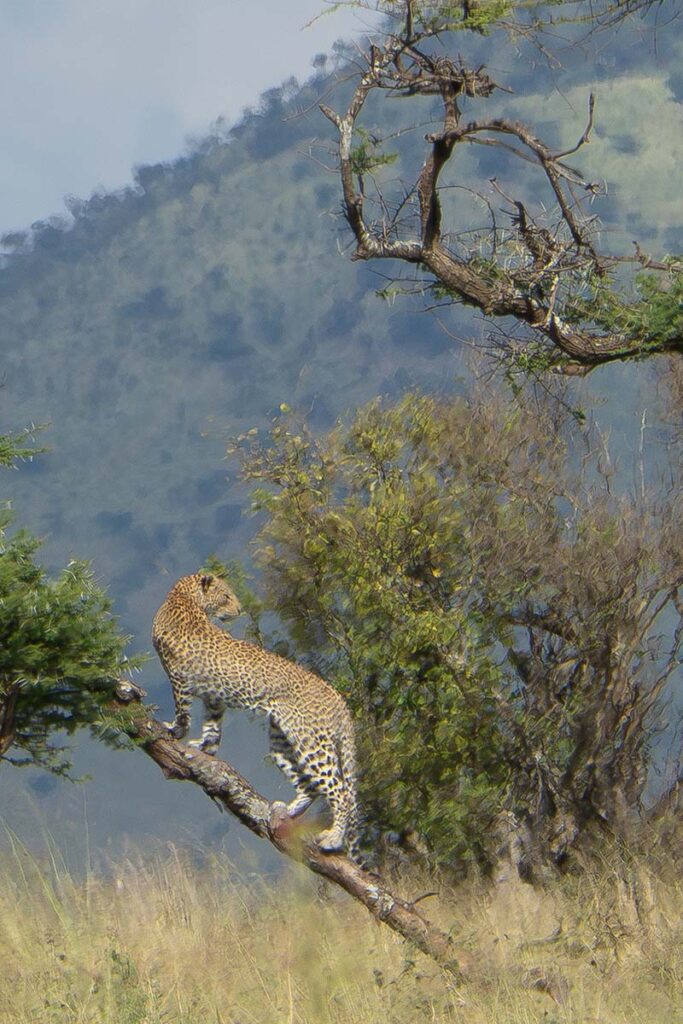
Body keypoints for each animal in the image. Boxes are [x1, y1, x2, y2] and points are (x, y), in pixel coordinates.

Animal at [150, 573, 362, 860]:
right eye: (227, 596)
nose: (239, 610)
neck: (182, 597)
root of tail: (337, 696)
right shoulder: (212, 696)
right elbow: (212, 728)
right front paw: (205, 746)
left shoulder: (179, 678)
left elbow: (183, 714)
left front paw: (175, 731)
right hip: (282, 741)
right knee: (310, 787)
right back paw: (287, 812)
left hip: (312, 744)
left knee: (341, 794)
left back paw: (332, 839)